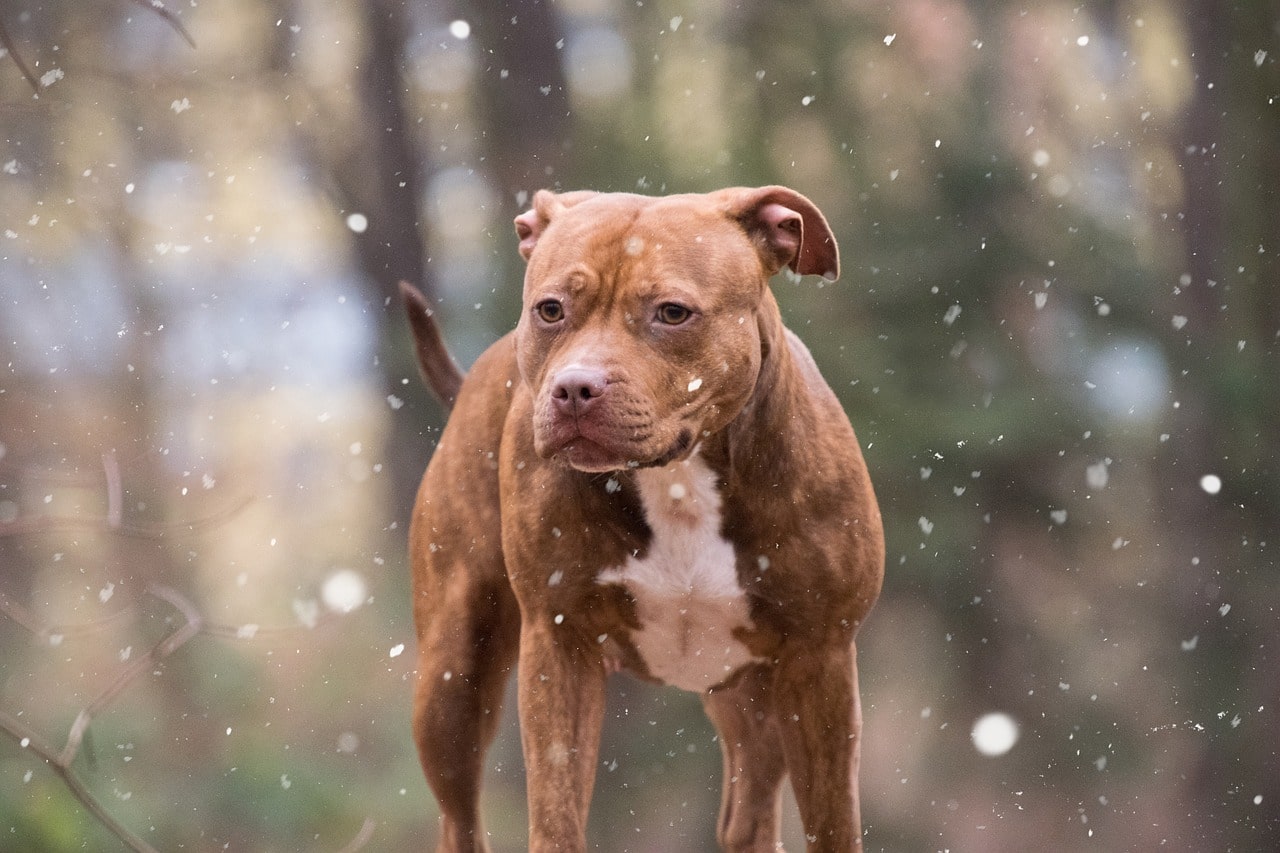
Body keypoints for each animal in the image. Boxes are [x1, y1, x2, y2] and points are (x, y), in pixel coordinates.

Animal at [404, 183, 885, 845]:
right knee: (459, 818)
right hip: (452, 676)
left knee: (750, 815)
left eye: (672, 313)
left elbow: (834, 825)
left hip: (755, 698)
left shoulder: (822, 660)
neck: (676, 479)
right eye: (550, 309)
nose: (574, 389)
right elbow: (555, 814)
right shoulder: (559, 646)